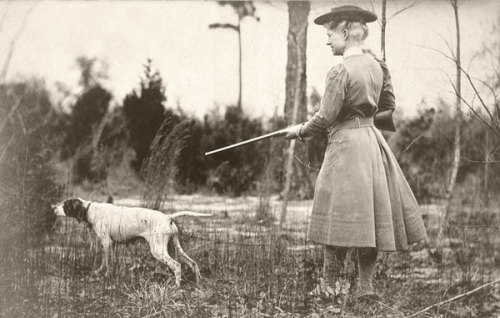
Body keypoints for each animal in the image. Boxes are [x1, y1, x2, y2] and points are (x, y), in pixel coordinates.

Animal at [51, 199, 212, 286]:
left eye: (65, 205)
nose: (53, 208)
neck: (90, 209)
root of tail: (168, 217)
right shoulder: (111, 245)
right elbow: (106, 261)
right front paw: (99, 272)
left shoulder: (107, 242)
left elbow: (108, 263)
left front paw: (106, 276)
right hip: (176, 248)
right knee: (193, 264)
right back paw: (198, 283)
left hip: (158, 251)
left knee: (177, 266)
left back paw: (176, 286)